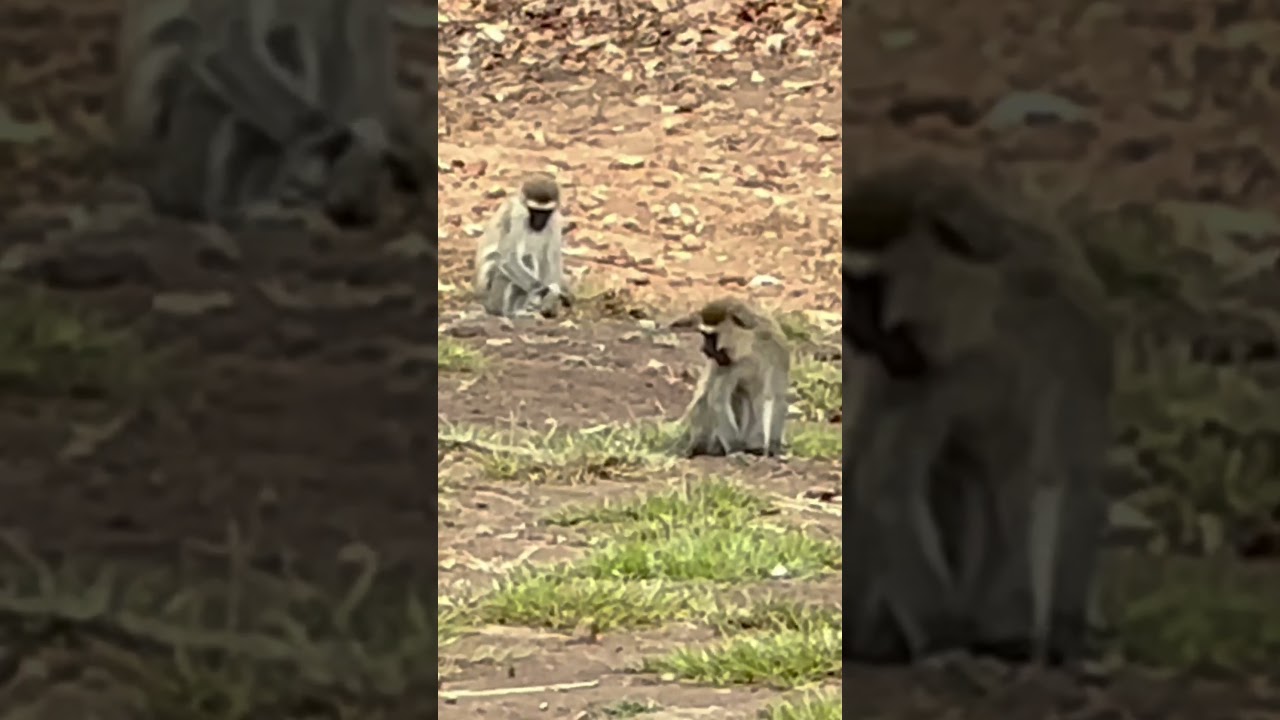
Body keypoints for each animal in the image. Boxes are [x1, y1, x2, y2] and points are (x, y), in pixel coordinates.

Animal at [474, 173, 573, 318]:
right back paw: (511, 311)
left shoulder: (555, 220)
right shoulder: (518, 216)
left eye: (545, 213)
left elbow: (552, 259)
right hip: (489, 288)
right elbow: (508, 257)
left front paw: (555, 296)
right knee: (522, 259)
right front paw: (545, 291)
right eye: (535, 211)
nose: (539, 222)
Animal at [673, 298, 791, 458]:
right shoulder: (724, 362)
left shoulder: (777, 350)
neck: (749, 347)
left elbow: (775, 398)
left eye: (711, 336)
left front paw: (768, 446)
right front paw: (735, 448)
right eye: (704, 335)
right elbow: (718, 399)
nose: (704, 349)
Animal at [841, 160, 1113, 667]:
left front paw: (1056, 635)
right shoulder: (908, 368)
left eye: (864, 287)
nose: (853, 330)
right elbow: (886, 482)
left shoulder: (1073, 331)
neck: (985, 319)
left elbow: (1069, 476)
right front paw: (944, 639)